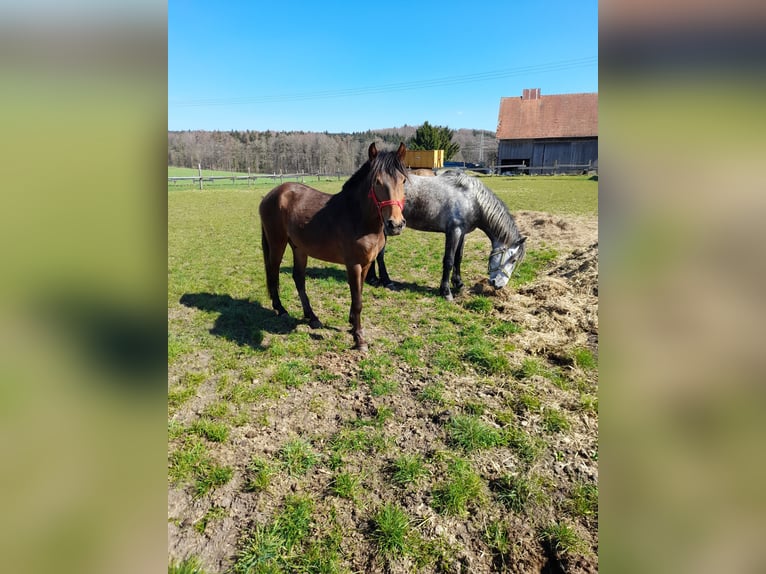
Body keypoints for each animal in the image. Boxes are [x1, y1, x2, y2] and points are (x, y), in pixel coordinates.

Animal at [259, 142, 407, 351]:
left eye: (403, 181)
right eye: (377, 182)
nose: (395, 224)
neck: (357, 217)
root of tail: (271, 194)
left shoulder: (366, 264)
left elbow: (358, 294)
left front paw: (352, 324)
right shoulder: (353, 265)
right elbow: (358, 301)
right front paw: (359, 339)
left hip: (299, 248)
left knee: (299, 278)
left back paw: (312, 317)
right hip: (277, 243)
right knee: (273, 273)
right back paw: (281, 309)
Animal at [367, 171, 526, 300]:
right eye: (513, 260)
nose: (498, 285)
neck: (472, 199)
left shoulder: (462, 233)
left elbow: (458, 258)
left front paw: (459, 283)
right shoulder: (453, 232)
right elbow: (449, 260)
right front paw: (446, 292)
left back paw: (373, 278)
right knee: (379, 254)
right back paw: (386, 281)